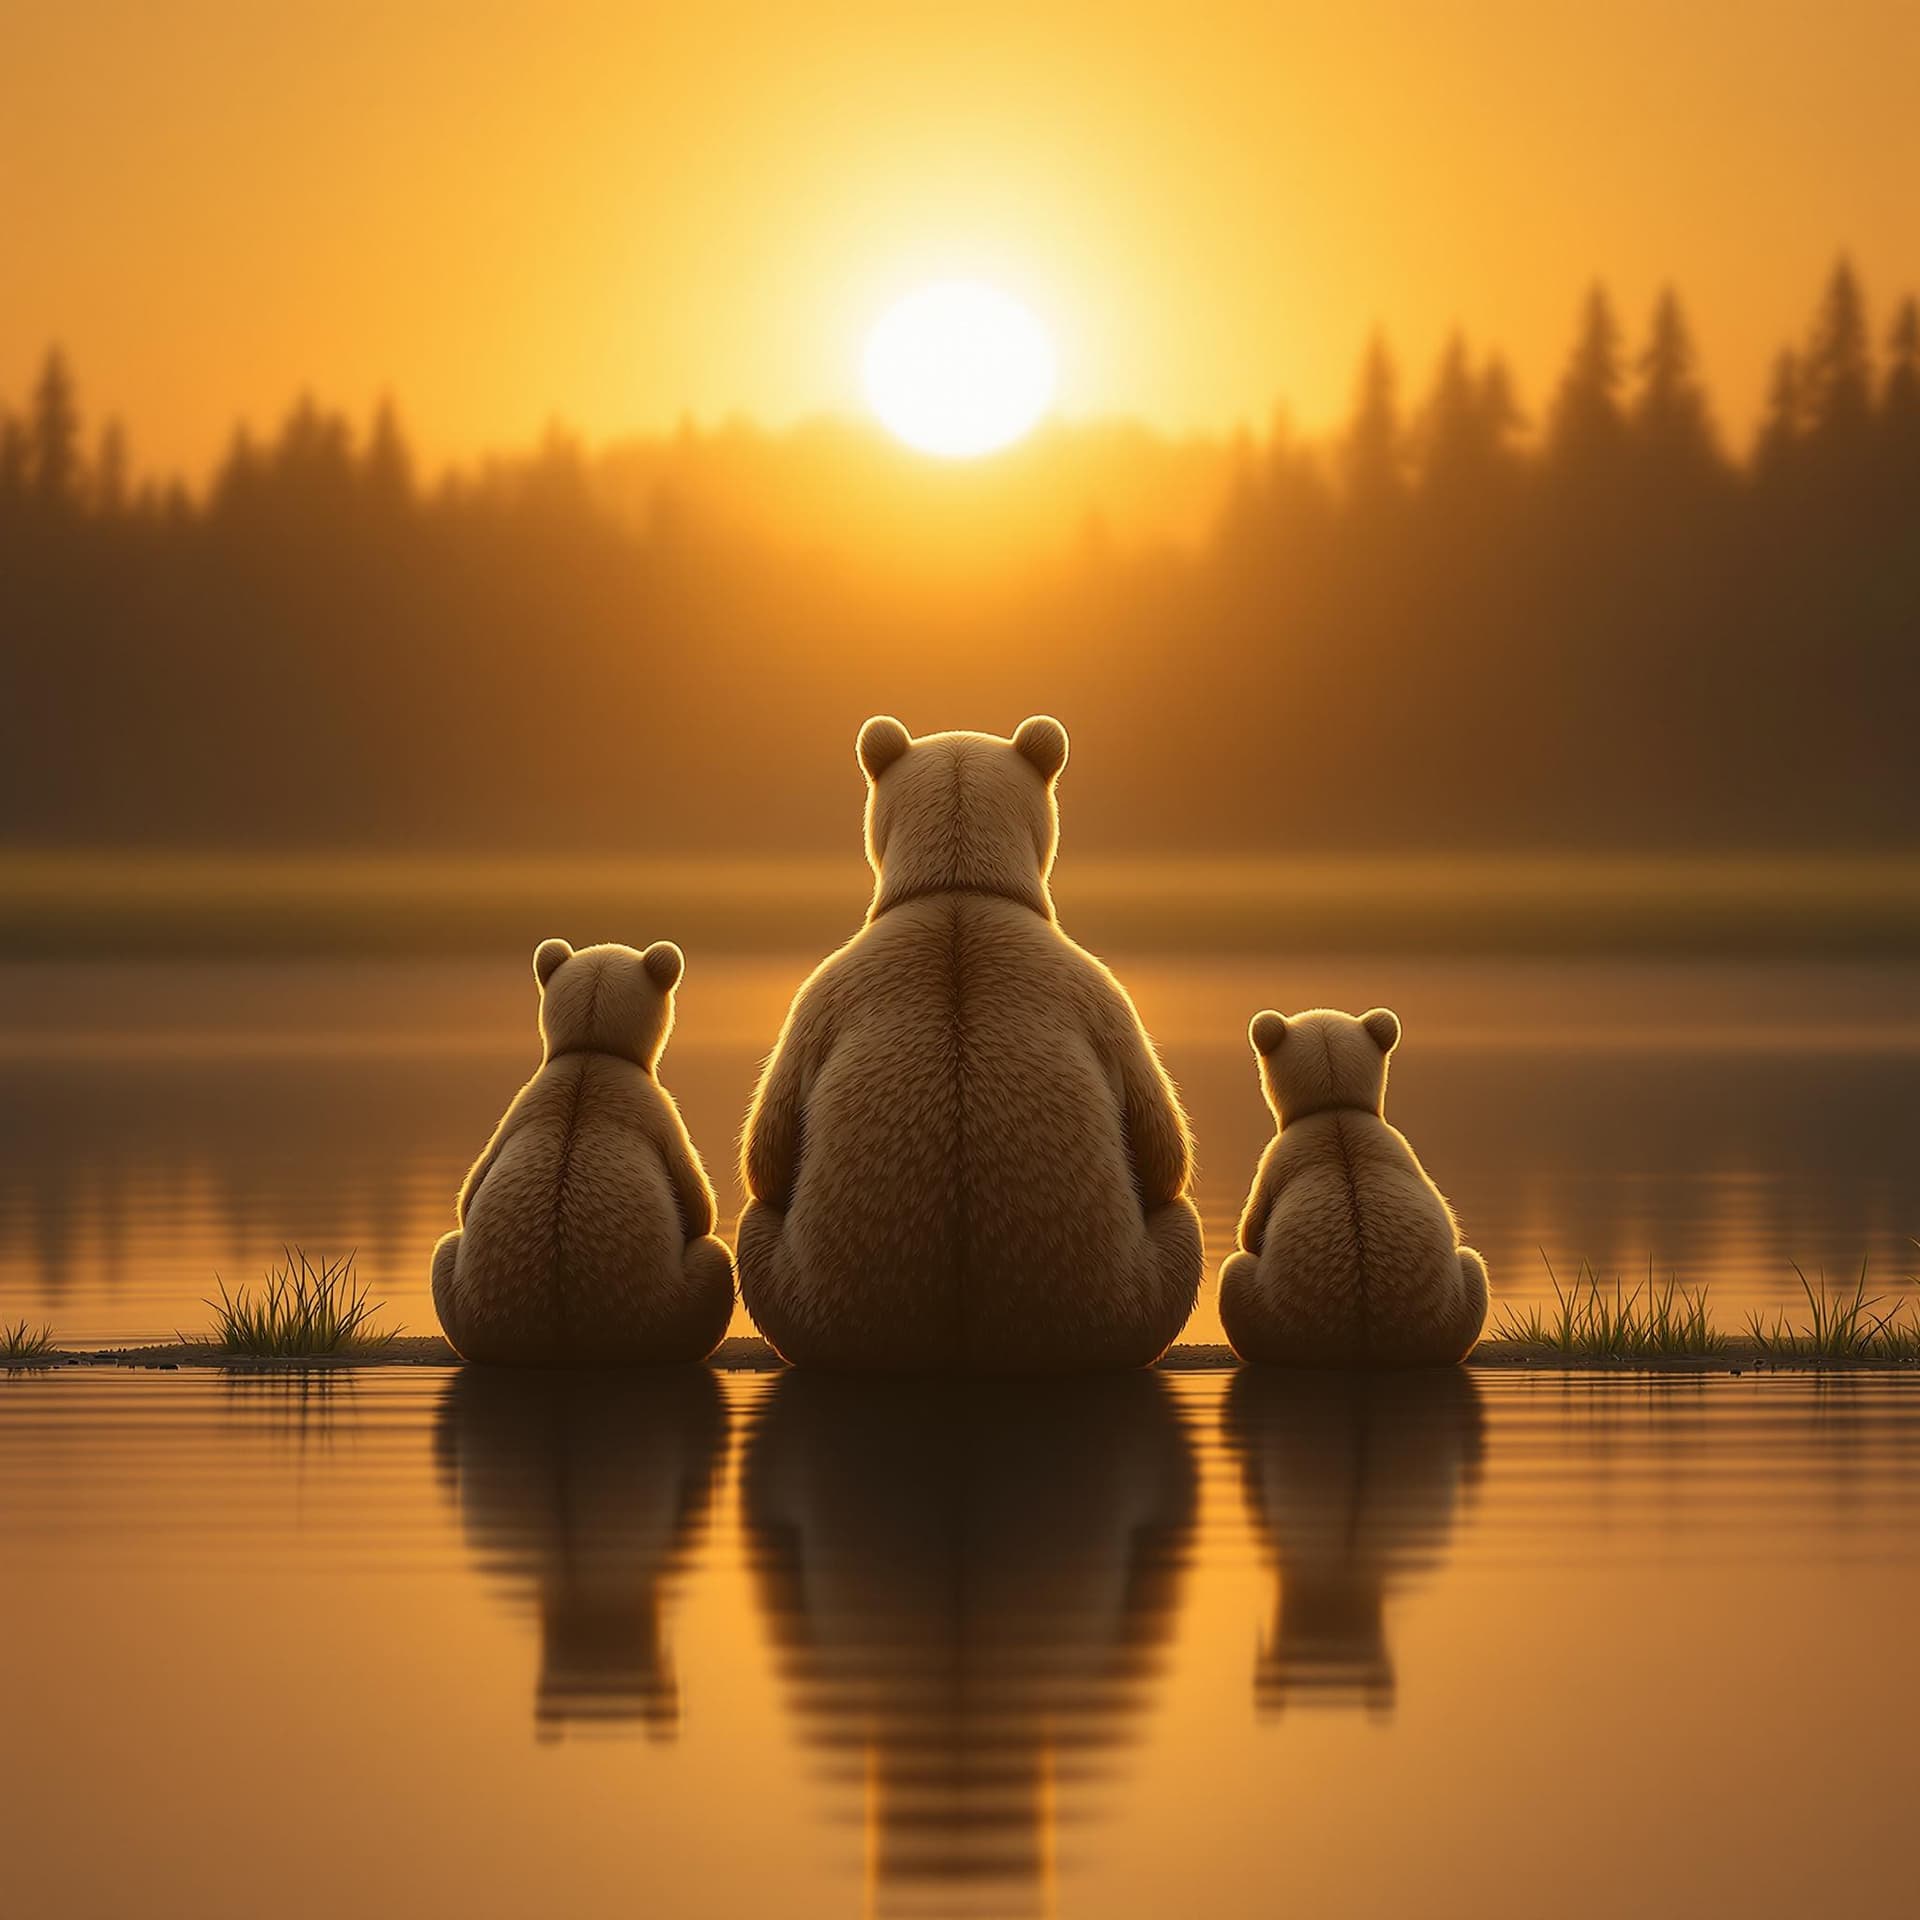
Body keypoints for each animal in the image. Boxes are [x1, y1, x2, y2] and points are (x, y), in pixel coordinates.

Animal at [430, 938, 735, 1367]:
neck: (591, 1051)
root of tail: (565, 1342)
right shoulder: (655, 1111)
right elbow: (698, 1204)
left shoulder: (520, 1110)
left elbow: (470, 1193)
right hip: (665, 1312)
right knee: (715, 1261)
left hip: (475, 1308)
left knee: (445, 1251)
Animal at [1217, 1006, 1488, 1368]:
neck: (1334, 1109)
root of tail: (1362, 1345)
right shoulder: (1402, 1153)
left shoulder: (1278, 1159)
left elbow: (1250, 1231)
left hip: (1265, 1316)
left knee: (1232, 1273)